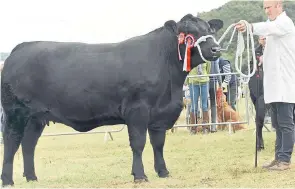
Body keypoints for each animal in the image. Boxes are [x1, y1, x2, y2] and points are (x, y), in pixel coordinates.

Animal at [0, 14, 222, 187]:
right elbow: (138, 143)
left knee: (28, 144)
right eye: (189, 33)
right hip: (15, 112)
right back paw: (8, 180)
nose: (216, 49)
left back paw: (32, 177)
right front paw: (140, 175)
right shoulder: (137, 110)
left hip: (36, 117)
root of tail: (20, 48)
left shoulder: (160, 114)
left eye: (208, 29)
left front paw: (163, 172)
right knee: (11, 142)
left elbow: (158, 144)